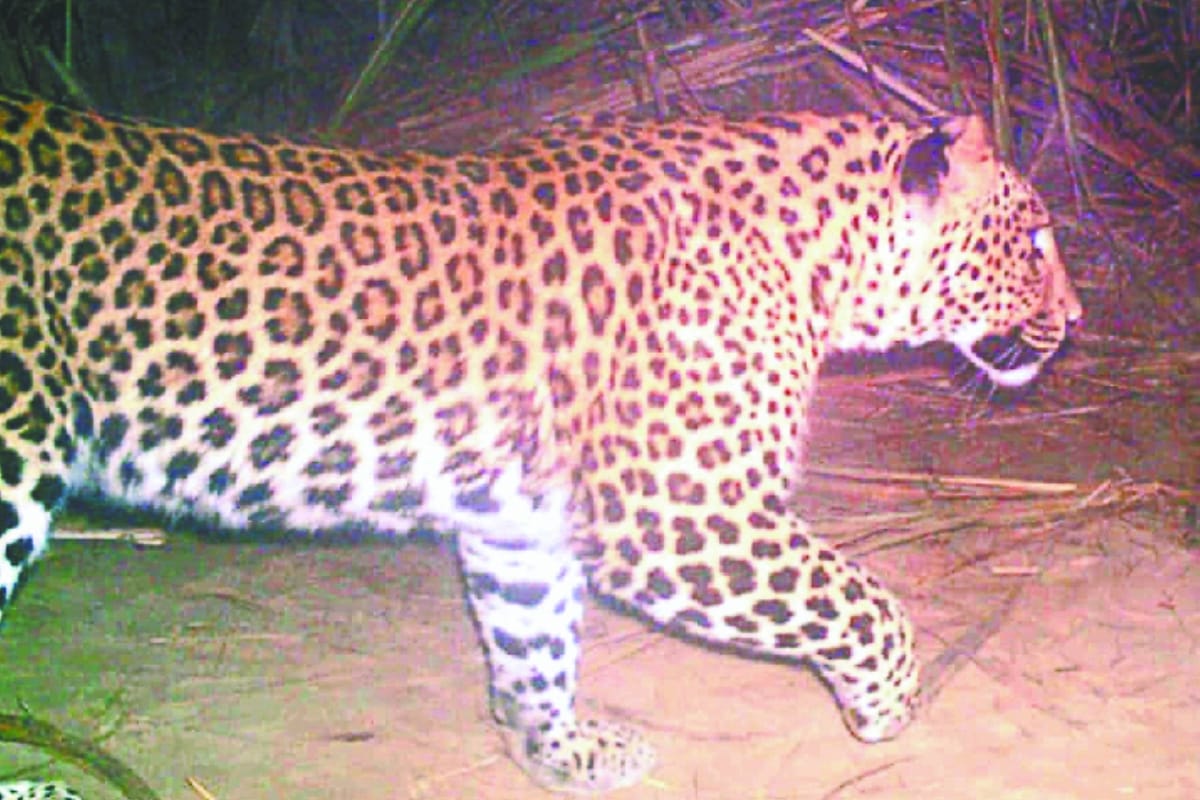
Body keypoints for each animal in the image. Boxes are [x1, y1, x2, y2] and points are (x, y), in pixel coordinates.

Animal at [0, 90, 1081, 796]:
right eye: (1033, 238)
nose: (1075, 320)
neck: (818, 263)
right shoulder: (679, 513)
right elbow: (865, 602)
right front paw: (887, 706)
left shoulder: (519, 512)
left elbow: (531, 639)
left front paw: (555, 751)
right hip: (19, 448)